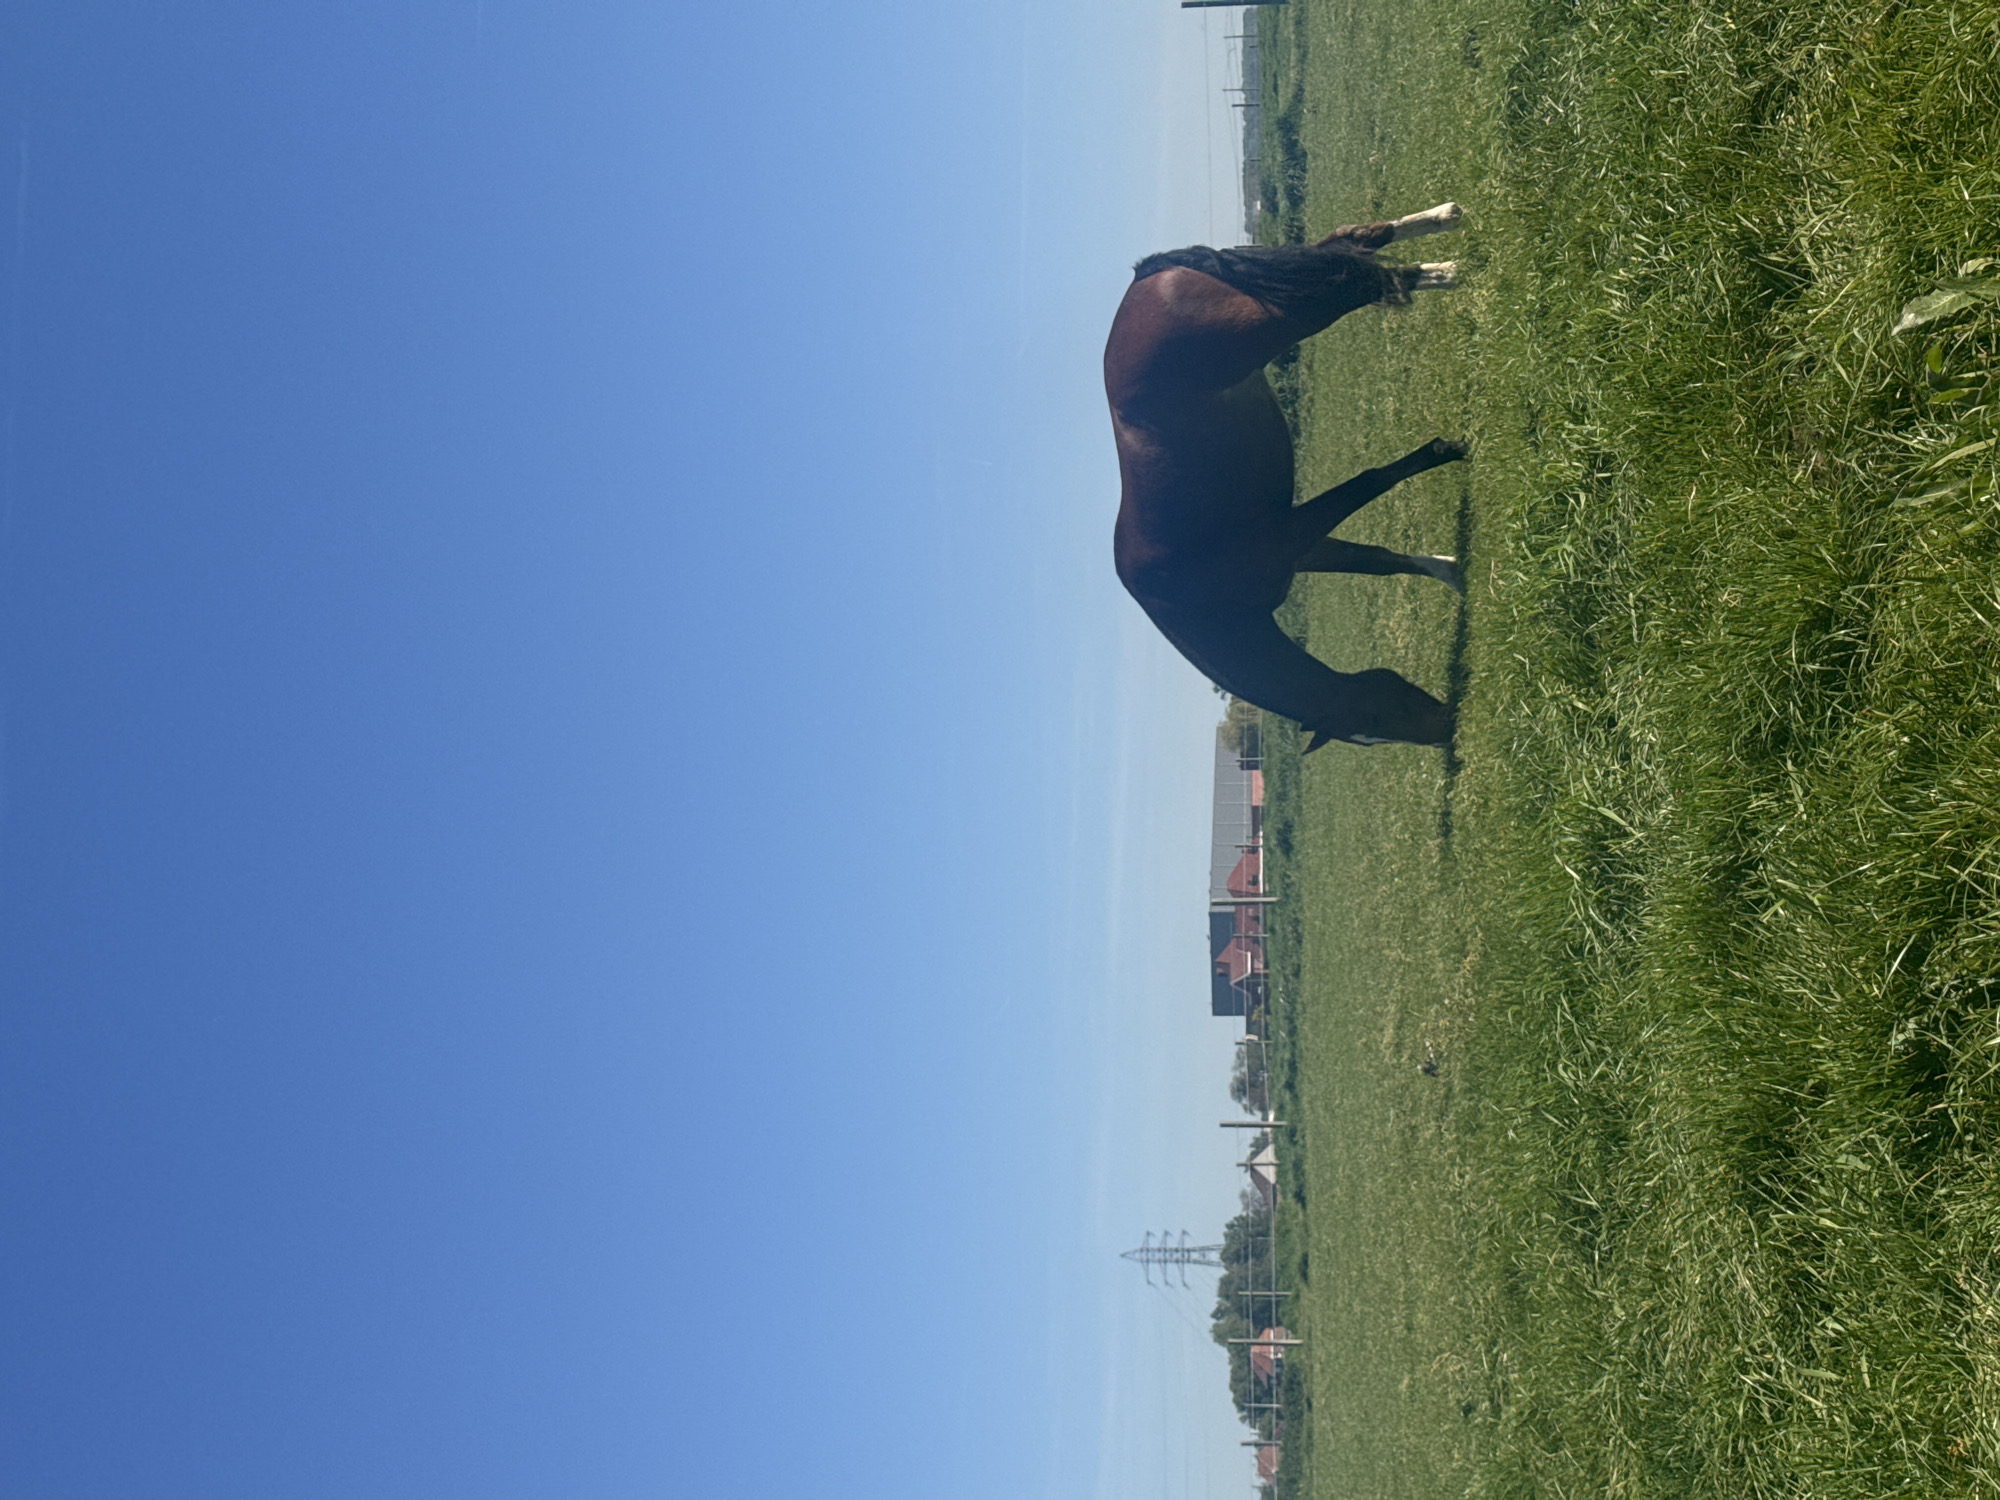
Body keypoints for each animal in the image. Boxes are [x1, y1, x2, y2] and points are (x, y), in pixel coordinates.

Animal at [1105, 203, 1468, 750]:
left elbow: (1372, 482)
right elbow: (1381, 561)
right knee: (1352, 242)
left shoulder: (1293, 531)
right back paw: (1441, 228)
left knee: (1359, 277)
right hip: (1287, 286)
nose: (1450, 734)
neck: (1191, 594)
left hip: (1288, 315)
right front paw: (1456, 572)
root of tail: (1148, 275)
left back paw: (1445, 270)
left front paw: (1447, 451)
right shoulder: (1301, 546)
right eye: (1374, 727)